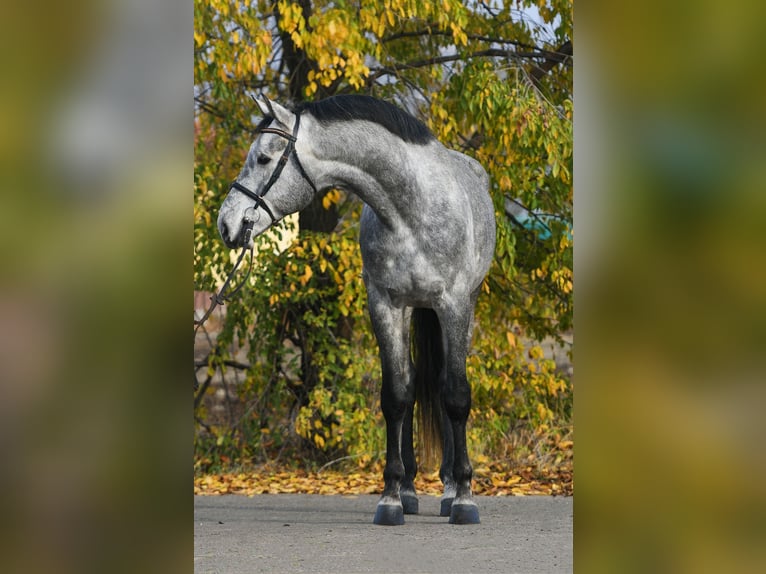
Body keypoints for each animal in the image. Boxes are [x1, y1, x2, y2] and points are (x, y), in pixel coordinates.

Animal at [217, 94, 496, 525]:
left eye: (263, 158)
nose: (225, 224)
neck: (411, 211)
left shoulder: (453, 304)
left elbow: (455, 395)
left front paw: (465, 498)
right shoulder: (384, 304)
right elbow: (396, 396)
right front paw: (391, 497)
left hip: (459, 308)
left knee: (446, 383)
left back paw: (451, 489)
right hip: (411, 309)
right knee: (413, 383)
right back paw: (412, 488)